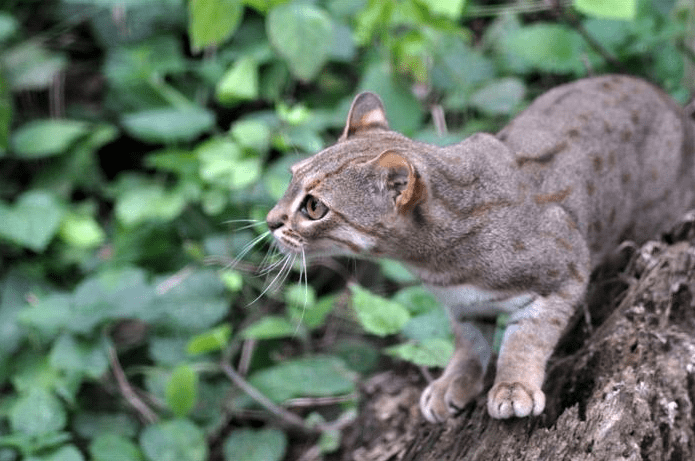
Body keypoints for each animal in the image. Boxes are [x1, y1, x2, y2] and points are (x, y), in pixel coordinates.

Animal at [266, 76, 695, 420]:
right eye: (291, 177)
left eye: (314, 207)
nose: (270, 221)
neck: (433, 264)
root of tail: (671, 103)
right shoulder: (463, 305)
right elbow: (468, 345)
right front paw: (453, 382)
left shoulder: (566, 271)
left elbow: (525, 339)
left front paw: (513, 386)